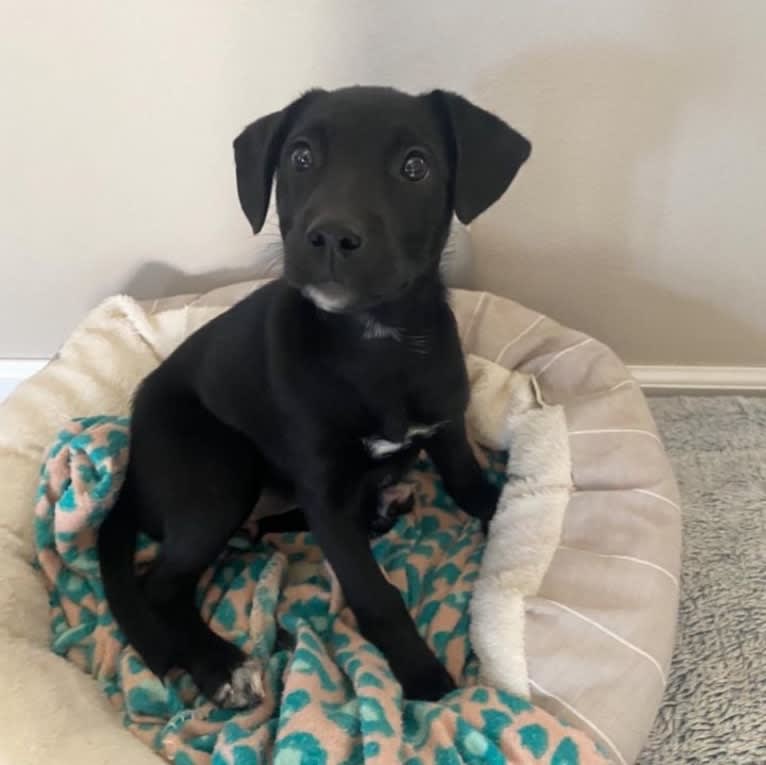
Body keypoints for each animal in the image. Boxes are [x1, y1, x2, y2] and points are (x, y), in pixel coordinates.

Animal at [96, 86, 532, 708]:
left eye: (416, 166)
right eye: (300, 158)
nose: (330, 236)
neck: (375, 343)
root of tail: (131, 472)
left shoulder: (447, 426)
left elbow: (473, 485)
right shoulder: (325, 492)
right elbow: (375, 594)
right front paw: (424, 681)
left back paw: (378, 507)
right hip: (218, 478)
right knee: (159, 586)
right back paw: (220, 666)